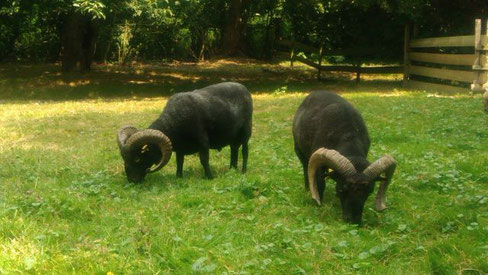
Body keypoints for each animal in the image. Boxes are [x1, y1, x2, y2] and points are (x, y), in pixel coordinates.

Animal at [117, 82, 254, 183]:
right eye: (124, 158)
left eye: (137, 159)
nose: (132, 180)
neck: (176, 118)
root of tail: (244, 89)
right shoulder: (179, 148)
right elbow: (179, 162)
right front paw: (179, 177)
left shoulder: (203, 142)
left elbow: (204, 160)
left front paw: (210, 177)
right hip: (233, 137)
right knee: (234, 150)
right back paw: (232, 169)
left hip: (246, 131)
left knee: (244, 151)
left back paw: (243, 171)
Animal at [292, 90, 394, 224]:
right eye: (342, 189)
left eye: (369, 191)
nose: (353, 220)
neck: (348, 134)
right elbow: (319, 183)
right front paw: (318, 202)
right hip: (300, 151)